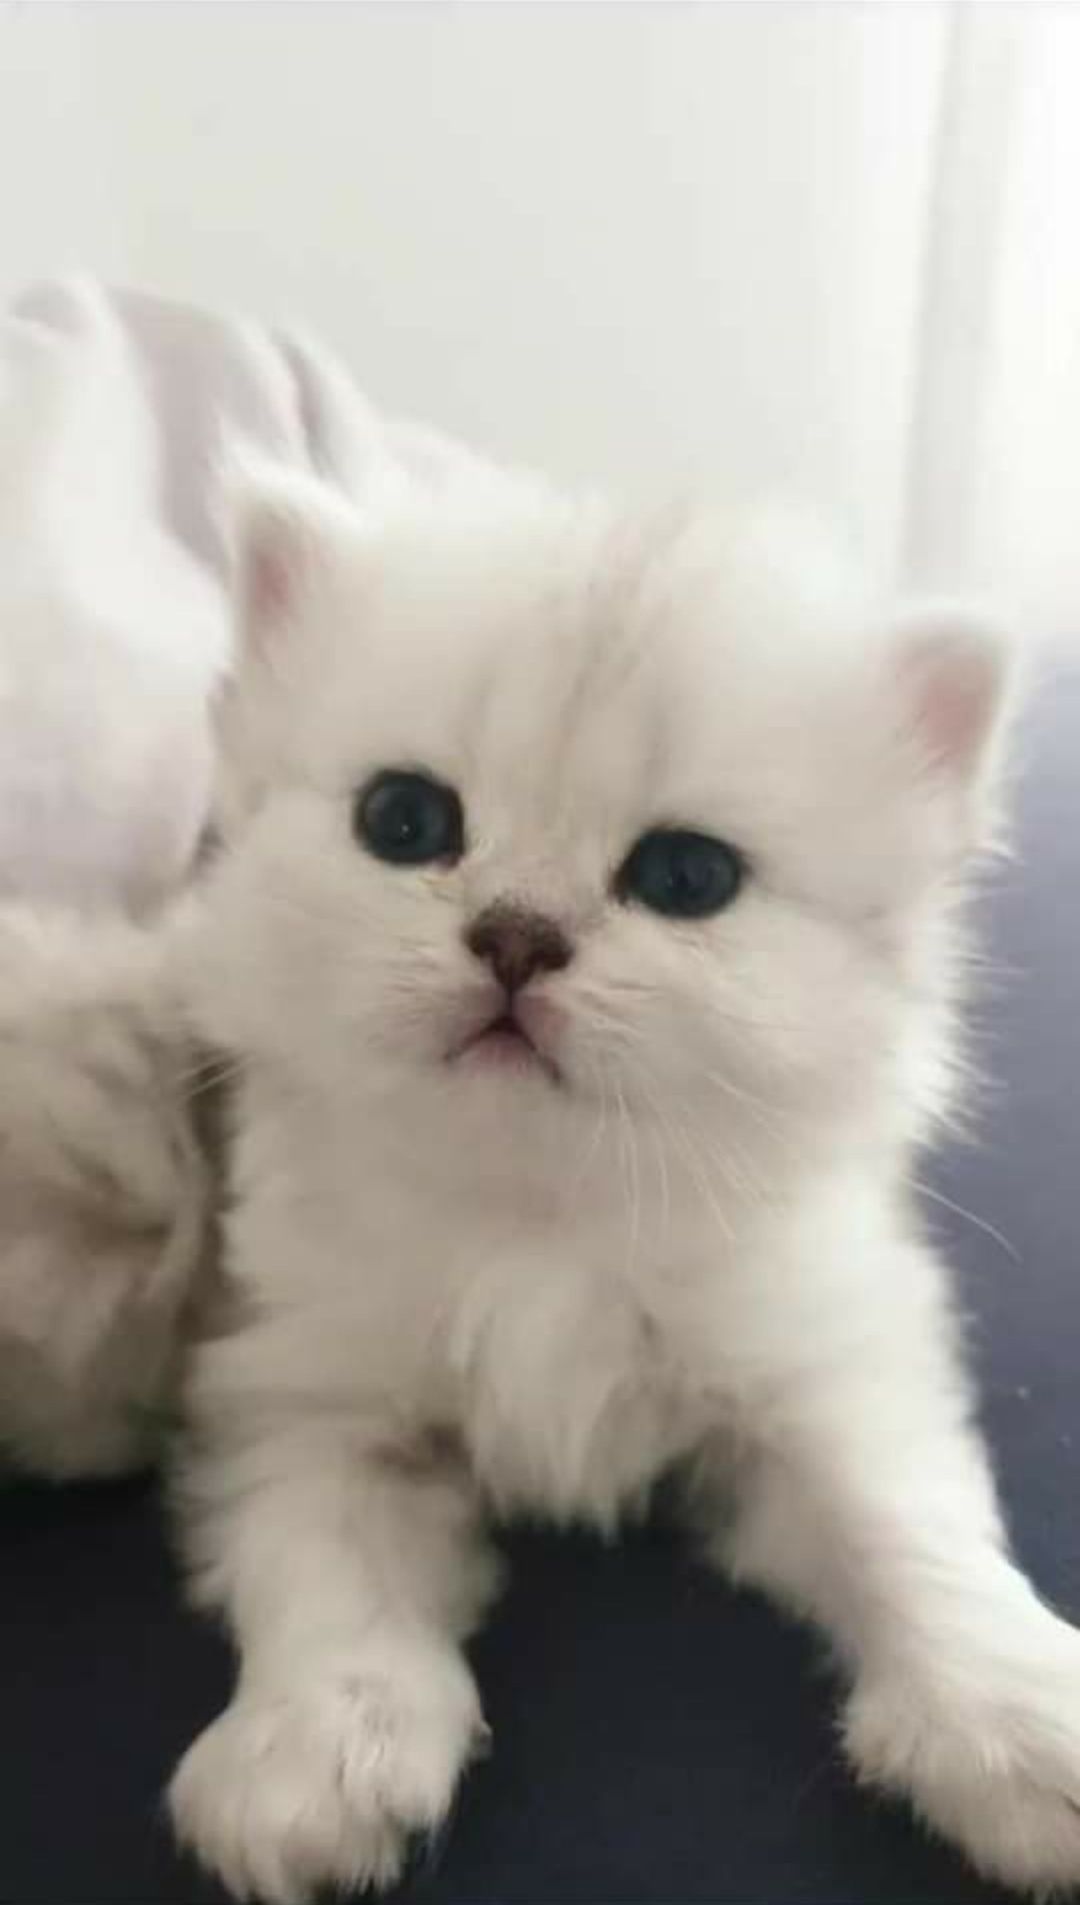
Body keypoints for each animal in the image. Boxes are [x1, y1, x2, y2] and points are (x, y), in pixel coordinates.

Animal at [169, 464, 1080, 1905]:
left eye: (686, 877)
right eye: (404, 821)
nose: (516, 936)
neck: (542, 1213)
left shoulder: (817, 1378)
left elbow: (910, 1530)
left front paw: (1019, 1718)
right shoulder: (313, 1409)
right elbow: (323, 1576)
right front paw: (313, 1754)